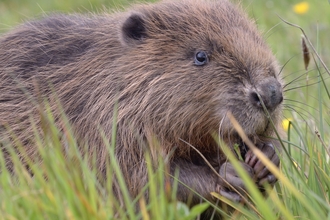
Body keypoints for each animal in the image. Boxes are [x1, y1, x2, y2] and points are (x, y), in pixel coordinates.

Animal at [0, 0, 284, 217]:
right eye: (201, 56)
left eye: (256, 38)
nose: (270, 93)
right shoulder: (102, 128)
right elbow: (143, 178)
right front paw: (230, 174)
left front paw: (265, 157)